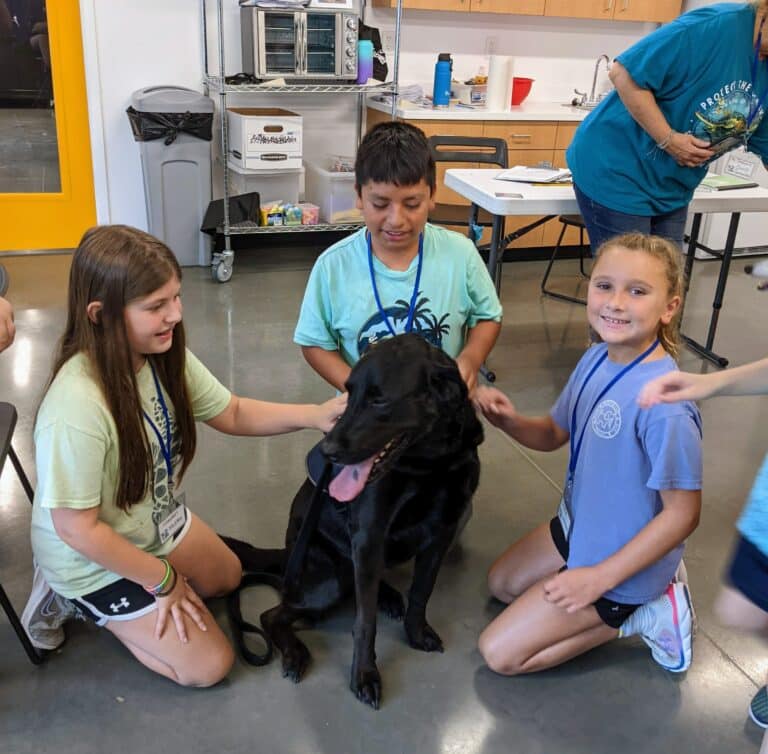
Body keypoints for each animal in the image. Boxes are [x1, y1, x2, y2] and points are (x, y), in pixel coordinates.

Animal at [225, 334, 484, 704]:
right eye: (349, 391)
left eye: (379, 400)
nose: (328, 451)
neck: (429, 464)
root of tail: (286, 554)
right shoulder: (369, 535)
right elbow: (365, 621)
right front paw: (364, 674)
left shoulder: (441, 533)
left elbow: (422, 591)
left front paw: (416, 632)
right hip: (333, 578)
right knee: (272, 614)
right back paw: (295, 652)